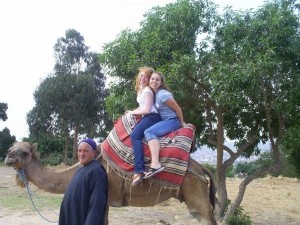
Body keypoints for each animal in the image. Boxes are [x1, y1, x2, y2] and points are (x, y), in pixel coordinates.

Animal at [5, 142, 217, 224]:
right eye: (11, 148)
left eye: (24, 152)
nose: (7, 157)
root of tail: (201, 168)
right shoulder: (106, 202)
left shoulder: (103, 197)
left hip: (194, 189)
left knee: (204, 216)